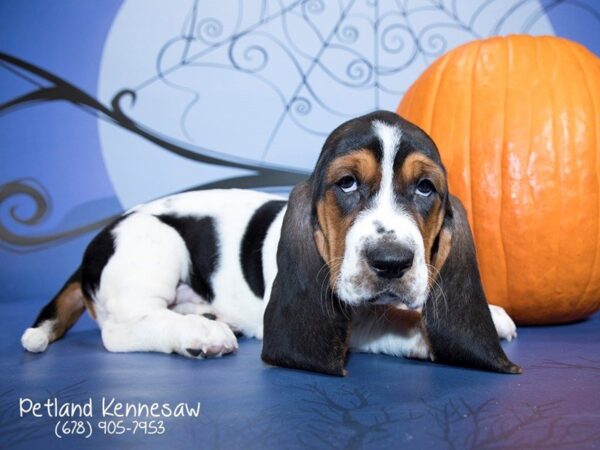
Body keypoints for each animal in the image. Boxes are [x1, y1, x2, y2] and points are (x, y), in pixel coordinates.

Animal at [22, 110, 520, 374]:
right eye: (345, 183)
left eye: (425, 189)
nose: (392, 262)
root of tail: (95, 243)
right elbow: (382, 319)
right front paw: (420, 333)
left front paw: (491, 316)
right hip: (156, 241)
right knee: (120, 331)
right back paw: (199, 332)